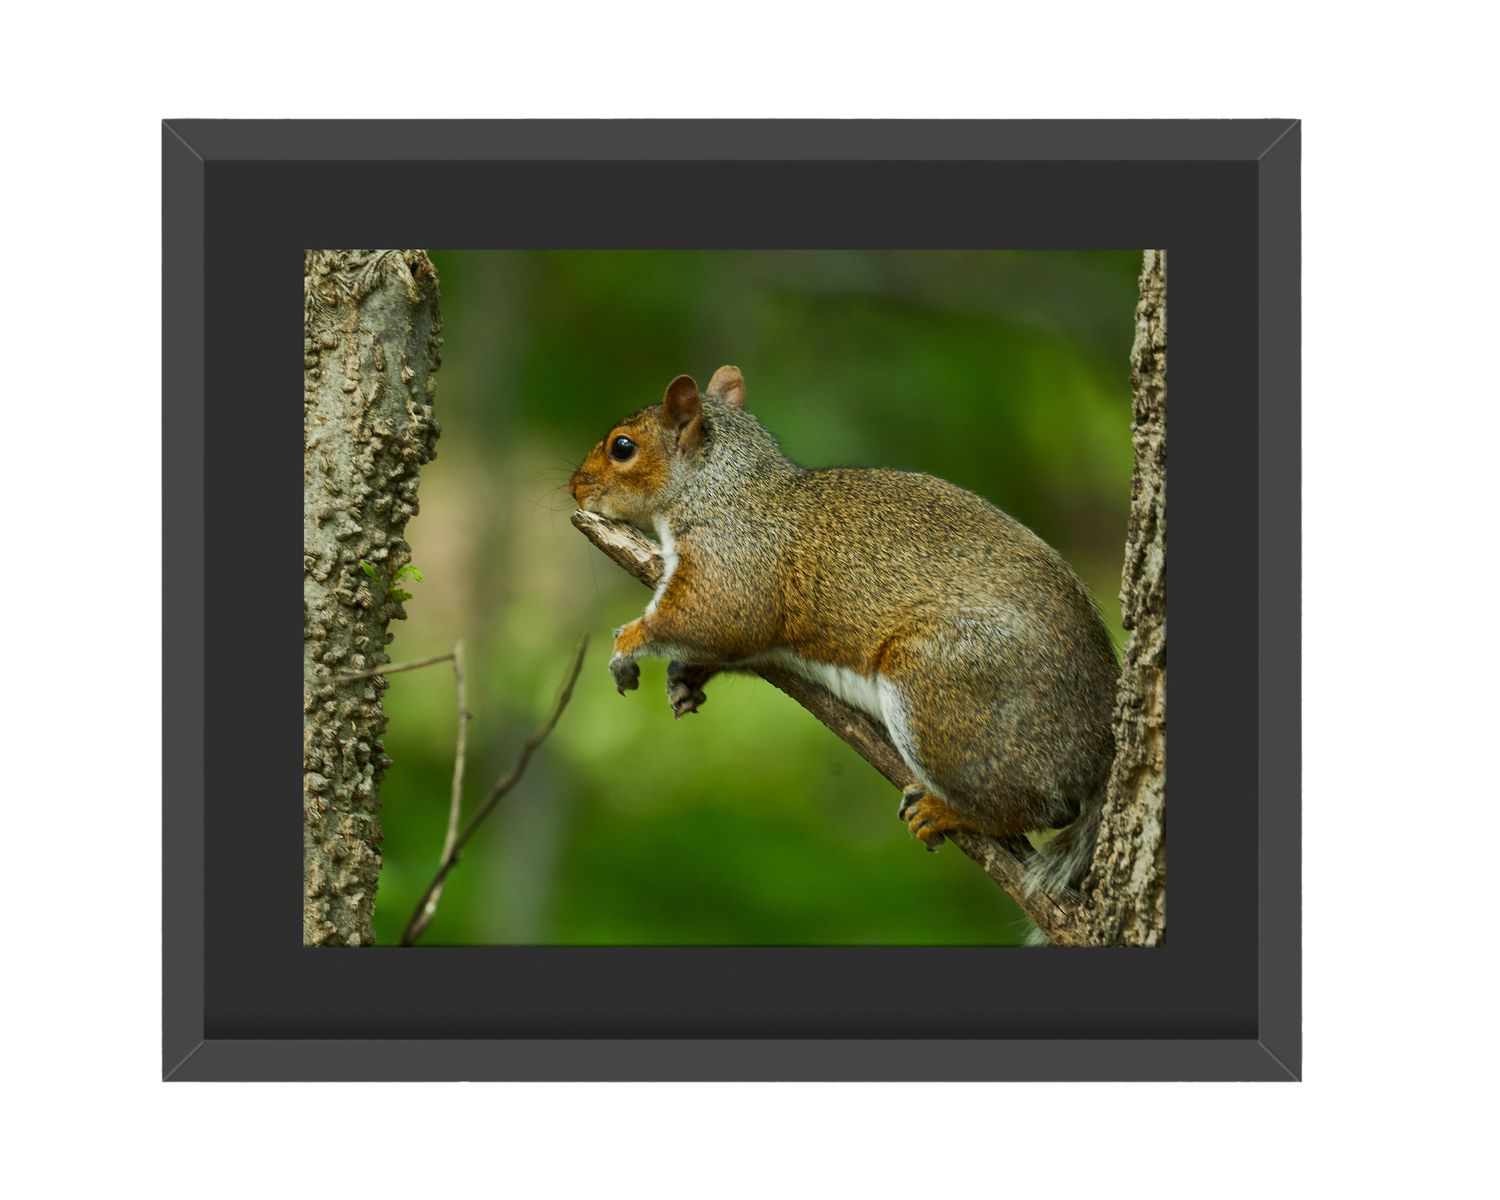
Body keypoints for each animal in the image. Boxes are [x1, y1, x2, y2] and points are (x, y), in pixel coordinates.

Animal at [568, 366, 1119, 895]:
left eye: (622, 446)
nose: (574, 486)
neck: (722, 484)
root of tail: (1097, 749)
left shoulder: (733, 554)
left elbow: (717, 617)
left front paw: (626, 644)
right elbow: (739, 647)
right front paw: (687, 677)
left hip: (942, 687)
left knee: (1038, 808)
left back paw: (949, 811)